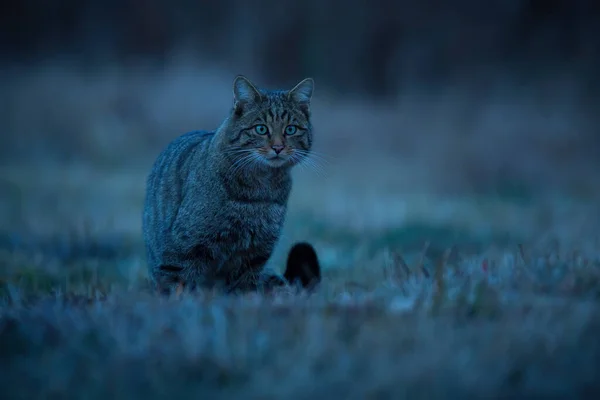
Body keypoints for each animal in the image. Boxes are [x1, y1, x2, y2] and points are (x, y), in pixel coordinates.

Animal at [144, 76, 324, 294]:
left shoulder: (255, 253)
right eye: (261, 129)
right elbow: (175, 286)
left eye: (290, 129)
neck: (261, 187)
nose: (278, 147)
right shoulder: (183, 247)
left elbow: (245, 289)